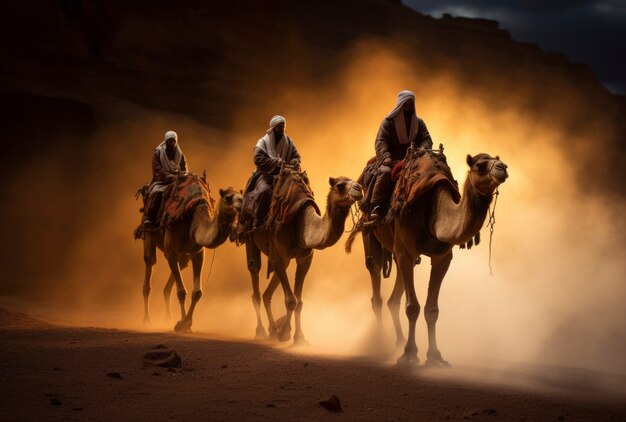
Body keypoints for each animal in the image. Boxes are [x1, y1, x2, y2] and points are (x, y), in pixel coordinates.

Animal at [139, 176, 241, 332]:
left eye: (242, 195)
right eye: (228, 198)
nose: (241, 203)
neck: (194, 217)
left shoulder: (197, 253)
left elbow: (197, 292)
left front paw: (185, 323)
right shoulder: (171, 252)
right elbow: (181, 292)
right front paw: (182, 324)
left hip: (183, 257)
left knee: (174, 277)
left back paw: (168, 318)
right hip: (148, 236)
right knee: (149, 266)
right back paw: (146, 320)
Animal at [243, 169, 360, 346]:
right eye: (340, 185)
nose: (359, 188)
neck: (301, 224)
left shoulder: (305, 258)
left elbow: (299, 301)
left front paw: (299, 337)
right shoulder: (278, 254)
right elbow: (291, 300)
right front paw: (285, 333)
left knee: (267, 293)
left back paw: (272, 330)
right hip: (251, 240)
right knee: (255, 276)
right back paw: (261, 331)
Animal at [346, 150, 508, 364]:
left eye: (499, 161)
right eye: (480, 165)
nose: (502, 168)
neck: (434, 208)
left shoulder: (442, 257)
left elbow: (432, 309)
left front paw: (434, 356)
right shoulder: (405, 249)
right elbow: (412, 307)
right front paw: (409, 354)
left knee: (393, 298)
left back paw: (399, 341)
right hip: (369, 230)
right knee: (375, 279)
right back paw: (382, 343)